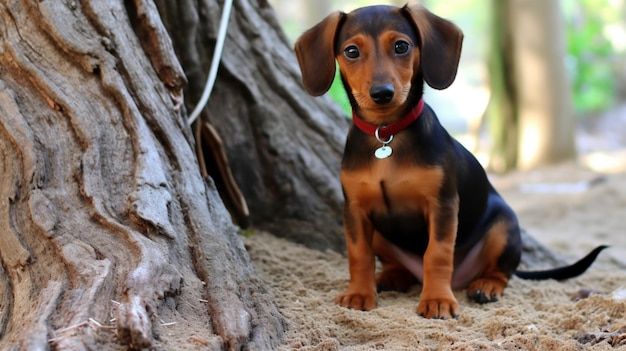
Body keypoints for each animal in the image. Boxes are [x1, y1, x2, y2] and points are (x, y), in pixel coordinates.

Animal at [292, 4, 604, 320]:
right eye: (352, 51)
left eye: (401, 46)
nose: (382, 93)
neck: (386, 135)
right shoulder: (355, 209)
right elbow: (359, 255)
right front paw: (358, 293)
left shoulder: (442, 204)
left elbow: (438, 254)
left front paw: (437, 300)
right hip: (380, 233)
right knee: (397, 265)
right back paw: (390, 277)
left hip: (504, 226)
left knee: (500, 272)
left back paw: (485, 286)